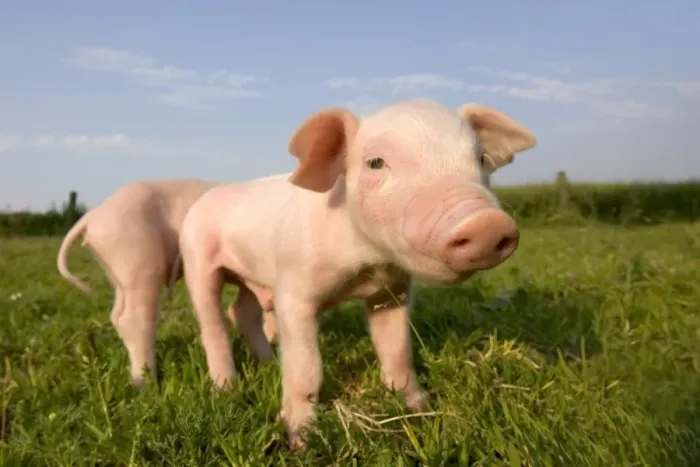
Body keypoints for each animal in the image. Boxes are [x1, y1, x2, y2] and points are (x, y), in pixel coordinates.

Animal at [177, 98, 537, 449]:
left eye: (482, 158)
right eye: (375, 162)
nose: (486, 223)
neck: (366, 265)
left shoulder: (392, 291)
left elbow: (396, 349)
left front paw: (419, 407)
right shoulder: (293, 289)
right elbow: (306, 366)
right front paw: (301, 439)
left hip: (250, 278)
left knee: (241, 310)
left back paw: (268, 363)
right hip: (197, 259)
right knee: (213, 323)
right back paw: (226, 388)